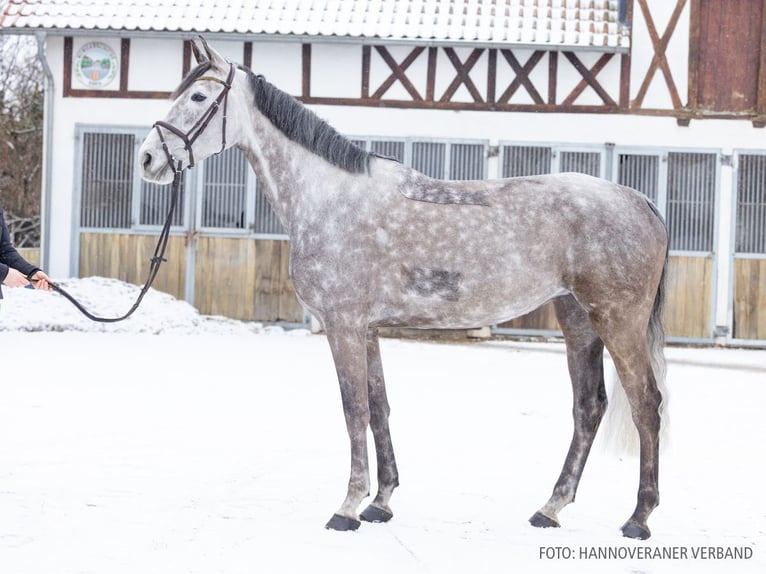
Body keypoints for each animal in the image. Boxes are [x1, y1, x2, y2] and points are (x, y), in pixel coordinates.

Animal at [139, 38, 668, 540]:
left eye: (199, 96)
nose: (148, 158)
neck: (329, 198)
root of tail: (638, 200)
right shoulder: (368, 329)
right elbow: (379, 408)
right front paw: (381, 501)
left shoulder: (344, 326)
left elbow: (353, 409)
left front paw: (347, 507)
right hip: (578, 320)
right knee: (589, 408)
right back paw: (550, 508)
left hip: (617, 321)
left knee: (646, 404)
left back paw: (639, 519)